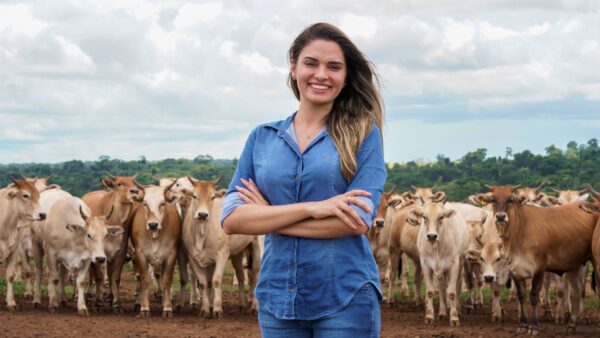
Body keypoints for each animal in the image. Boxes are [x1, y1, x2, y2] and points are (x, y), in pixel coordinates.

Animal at [0, 178, 44, 310]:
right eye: (25, 195)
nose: (42, 214)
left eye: (38, 194)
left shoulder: (14, 250)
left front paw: (11, 303)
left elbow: (10, 276)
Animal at [80, 173, 145, 312]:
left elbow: (115, 279)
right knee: (92, 275)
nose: (135, 192)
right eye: (119, 183)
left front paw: (116, 304)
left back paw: (109, 297)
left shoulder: (120, 254)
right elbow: (99, 277)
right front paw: (98, 303)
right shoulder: (97, 256)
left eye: (134, 183)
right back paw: (89, 296)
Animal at [130, 184, 179, 318]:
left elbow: (166, 280)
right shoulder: (140, 255)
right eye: (145, 203)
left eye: (162, 203)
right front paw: (144, 308)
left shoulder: (171, 255)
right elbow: (144, 279)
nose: (153, 224)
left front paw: (167, 308)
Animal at [180, 177, 260, 316]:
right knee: (240, 276)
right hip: (237, 253)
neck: (202, 232)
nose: (202, 214)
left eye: (212, 197)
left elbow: (216, 280)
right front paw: (205, 309)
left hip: (256, 248)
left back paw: (255, 307)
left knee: (254, 276)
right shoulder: (193, 257)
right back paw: (242, 304)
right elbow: (204, 282)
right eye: (194, 196)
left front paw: (217, 309)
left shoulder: (222, 255)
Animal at [474, 186, 596, 334]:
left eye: (511, 199)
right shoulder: (514, 270)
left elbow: (534, 295)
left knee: (577, 291)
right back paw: (571, 325)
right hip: (574, 264)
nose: (500, 216)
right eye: (493, 199)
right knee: (576, 292)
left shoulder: (539, 268)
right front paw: (522, 323)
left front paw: (534, 325)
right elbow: (520, 295)